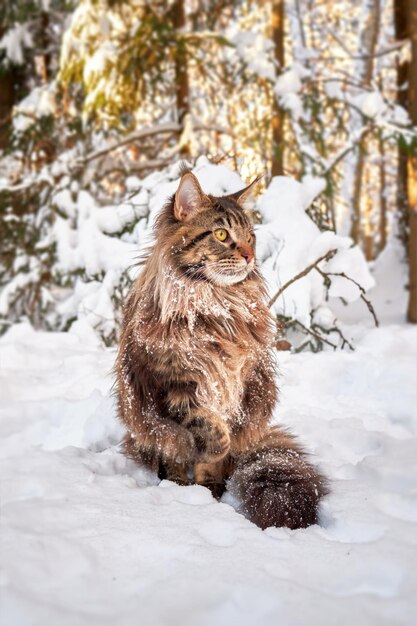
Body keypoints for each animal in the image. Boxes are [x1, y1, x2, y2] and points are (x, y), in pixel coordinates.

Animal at [115, 168, 326, 528]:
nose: (250, 256)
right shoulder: (173, 383)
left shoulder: (235, 380)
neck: (213, 304)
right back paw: (178, 485)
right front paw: (203, 460)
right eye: (222, 234)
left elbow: (217, 448)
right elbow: (204, 428)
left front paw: (208, 485)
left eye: (250, 236)